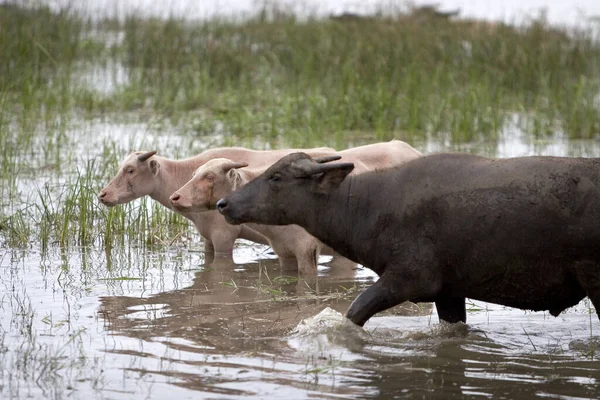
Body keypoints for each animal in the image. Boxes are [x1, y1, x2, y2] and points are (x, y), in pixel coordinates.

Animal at [218, 152, 600, 326]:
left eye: (276, 177)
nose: (224, 204)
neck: (368, 210)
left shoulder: (410, 278)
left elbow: (354, 313)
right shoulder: (449, 290)